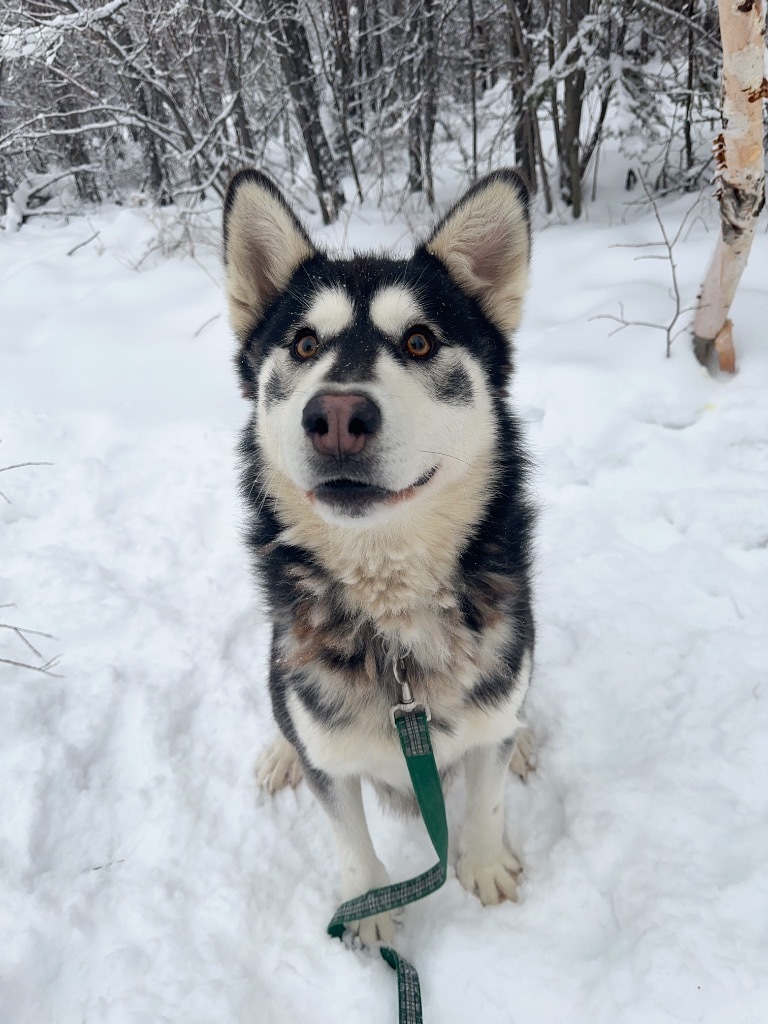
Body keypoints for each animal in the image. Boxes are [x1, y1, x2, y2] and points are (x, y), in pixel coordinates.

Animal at [222, 167, 536, 942]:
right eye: (305, 344)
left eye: (420, 342)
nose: (337, 416)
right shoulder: (330, 758)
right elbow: (347, 832)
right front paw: (367, 907)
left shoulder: (491, 713)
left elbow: (487, 790)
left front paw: (485, 864)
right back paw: (280, 752)